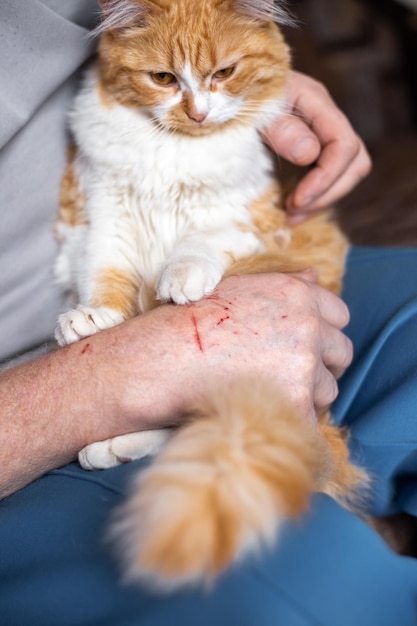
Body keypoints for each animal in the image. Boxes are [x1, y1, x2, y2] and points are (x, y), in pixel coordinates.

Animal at [53, 0, 366, 588]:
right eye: (163, 79)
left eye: (224, 72)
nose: (198, 114)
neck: (176, 151)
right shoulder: (105, 215)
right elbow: (104, 276)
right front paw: (91, 319)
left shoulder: (251, 219)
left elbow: (201, 240)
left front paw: (181, 277)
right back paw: (110, 446)